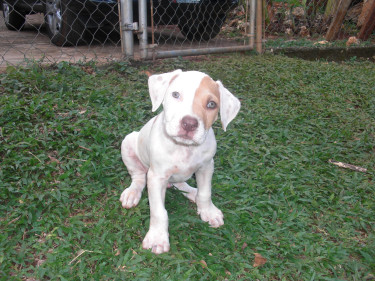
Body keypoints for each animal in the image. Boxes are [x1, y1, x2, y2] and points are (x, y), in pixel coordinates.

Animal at [119, 69, 241, 253]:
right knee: (139, 177)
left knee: (182, 184)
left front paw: (208, 211)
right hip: (128, 144)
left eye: (211, 104)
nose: (189, 124)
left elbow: (206, 193)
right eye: (175, 94)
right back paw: (132, 193)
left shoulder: (207, 167)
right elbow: (158, 212)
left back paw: (192, 193)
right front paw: (157, 238)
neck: (185, 148)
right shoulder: (156, 177)